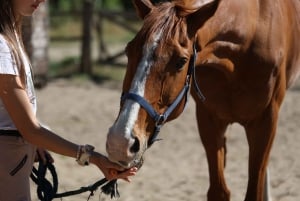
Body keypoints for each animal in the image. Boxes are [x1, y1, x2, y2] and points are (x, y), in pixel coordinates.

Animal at [105, 0, 300, 201]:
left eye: (181, 61)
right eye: (128, 51)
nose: (120, 142)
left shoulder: (265, 121)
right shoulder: (209, 119)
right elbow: (219, 191)